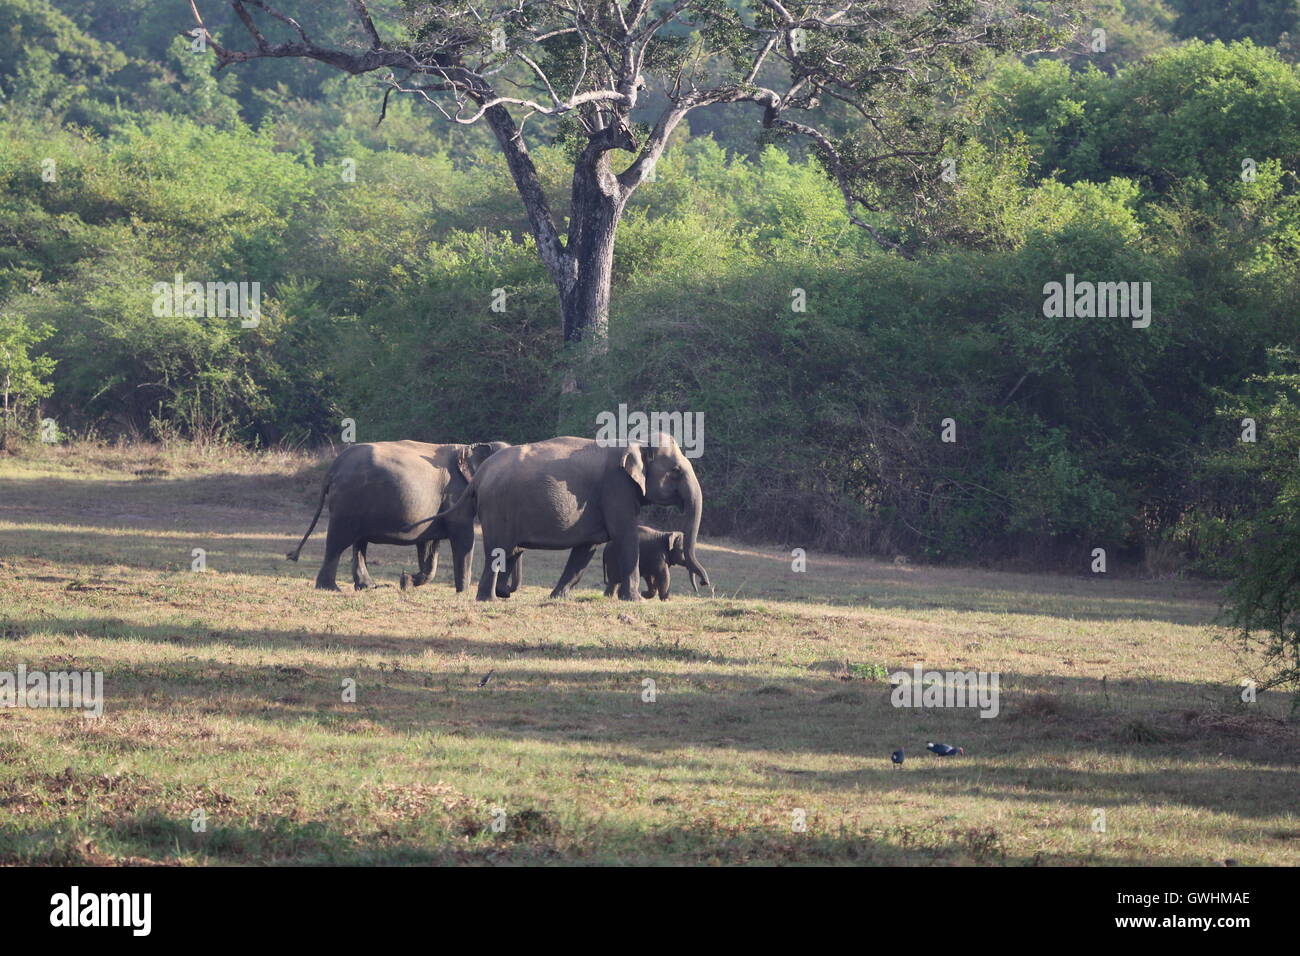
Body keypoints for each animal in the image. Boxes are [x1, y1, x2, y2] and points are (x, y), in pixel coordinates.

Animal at [287, 442, 514, 590]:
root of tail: (333, 468)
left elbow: (428, 546)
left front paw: (406, 581)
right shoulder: (455, 494)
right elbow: (463, 537)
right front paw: (463, 593)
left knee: (358, 542)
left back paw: (368, 586)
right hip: (347, 502)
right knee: (338, 542)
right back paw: (330, 588)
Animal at [431, 434, 707, 600]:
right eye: (675, 471)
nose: (704, 584)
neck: (635, 441)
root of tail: (481, 473)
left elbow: (587, 548)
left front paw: (558, 597)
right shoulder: (616, 488)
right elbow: (625, 536)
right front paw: (635, 600)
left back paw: (500, 596)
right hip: (497, 507)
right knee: (497, 549)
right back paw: (487, 599)